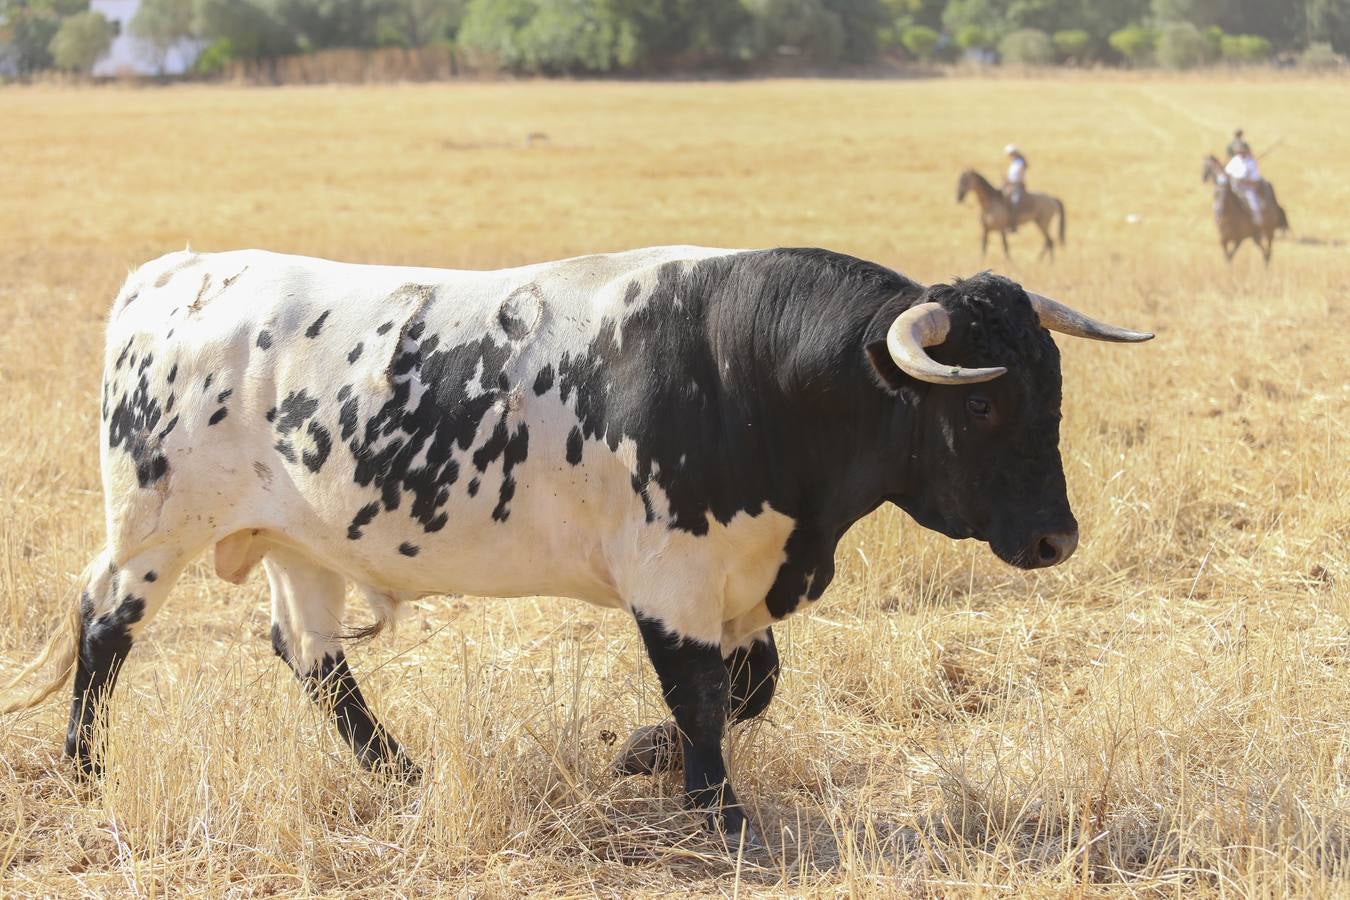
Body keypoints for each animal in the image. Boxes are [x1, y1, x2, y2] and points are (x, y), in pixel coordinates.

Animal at [5, 244, 1155, 847]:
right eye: (986, 408)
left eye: (1052, 387)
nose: (1055, 537)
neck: (747, 375)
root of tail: (177, 275)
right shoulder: (671, 578)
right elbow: (705, 695)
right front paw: (715, 809)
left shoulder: (740, 579)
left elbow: (751, 686)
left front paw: (639, 757)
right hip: (155, 527)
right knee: (105, 624)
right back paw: (83, 764)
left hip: (301, 542)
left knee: (313, 656)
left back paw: (399, 770)